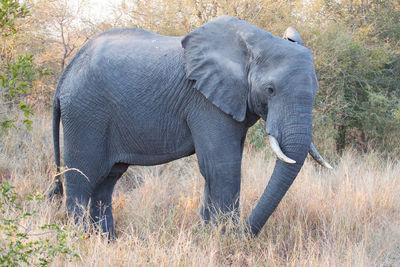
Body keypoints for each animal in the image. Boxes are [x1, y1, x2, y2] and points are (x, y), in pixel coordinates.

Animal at [49, 15, 332, 240]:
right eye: (270, 90)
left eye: (316, 90)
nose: (244, 235)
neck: (254, 42)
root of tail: (67, 72)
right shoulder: (204, 101)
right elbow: (223, 166)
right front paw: (224, 240)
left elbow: (215, 167)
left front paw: (208, 236)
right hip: (85, 113)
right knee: (82, 178)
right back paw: (80, 240)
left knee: (107, 180)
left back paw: (107, 242)